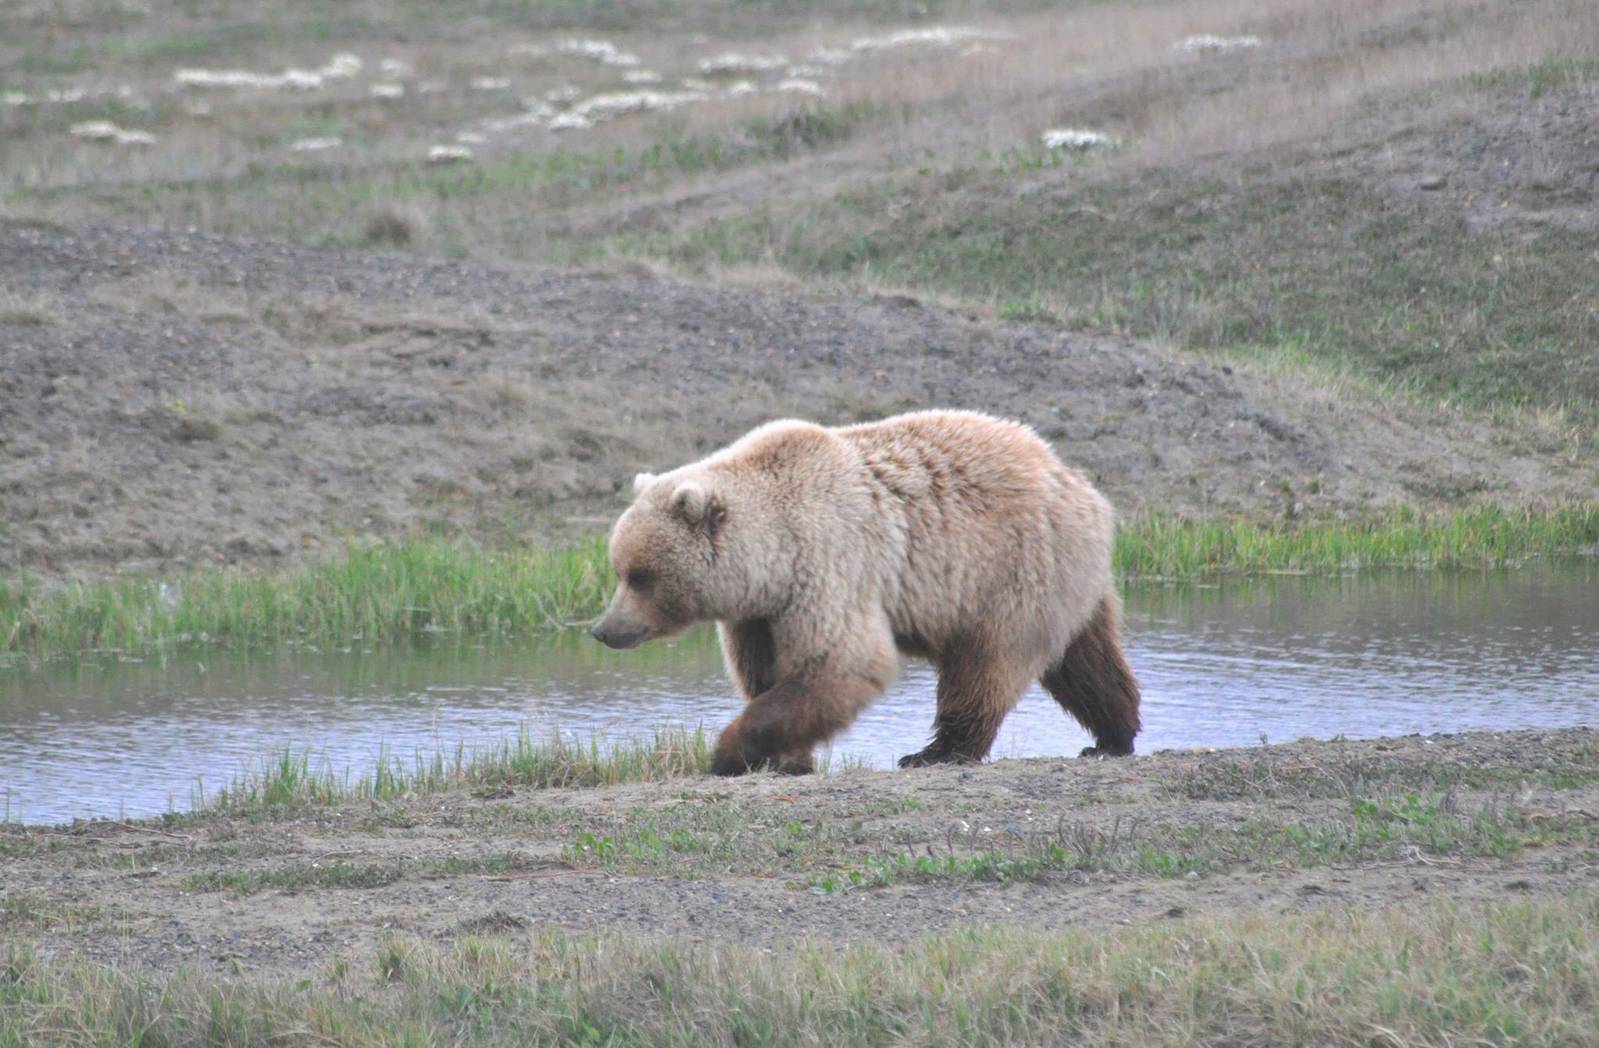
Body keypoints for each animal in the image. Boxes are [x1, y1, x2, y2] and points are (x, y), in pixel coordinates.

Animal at [589, 409, 1140, 776]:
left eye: (640, 575)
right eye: (618, 568)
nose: (603, 629)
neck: (770, 557)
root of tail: (1077, 481)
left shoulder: (830, 561)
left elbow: (841, 663)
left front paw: (731, 751)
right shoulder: (760, 613)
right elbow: (766, 673)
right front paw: (785, 756)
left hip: (1008, 572)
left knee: (985, 666)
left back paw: (936, 751)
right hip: (1067, 581)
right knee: (1086, 661)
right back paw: (1113, 734)